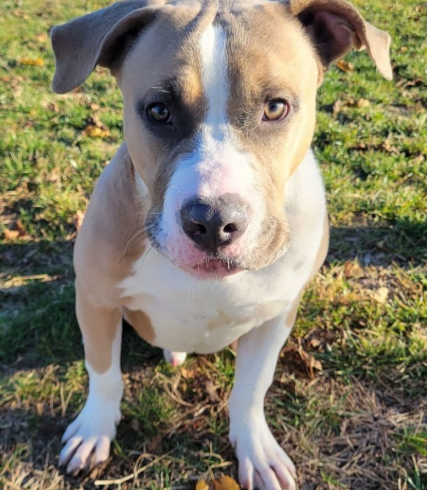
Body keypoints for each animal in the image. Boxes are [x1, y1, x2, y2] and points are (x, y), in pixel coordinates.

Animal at [50, 0, 392, 486]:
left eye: (276, 107)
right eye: (158, 111)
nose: (213, 222)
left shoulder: (277, 317)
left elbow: (251, 388)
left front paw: (256, 448)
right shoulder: (96, 300)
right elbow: (103, 373)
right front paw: (94, 430)